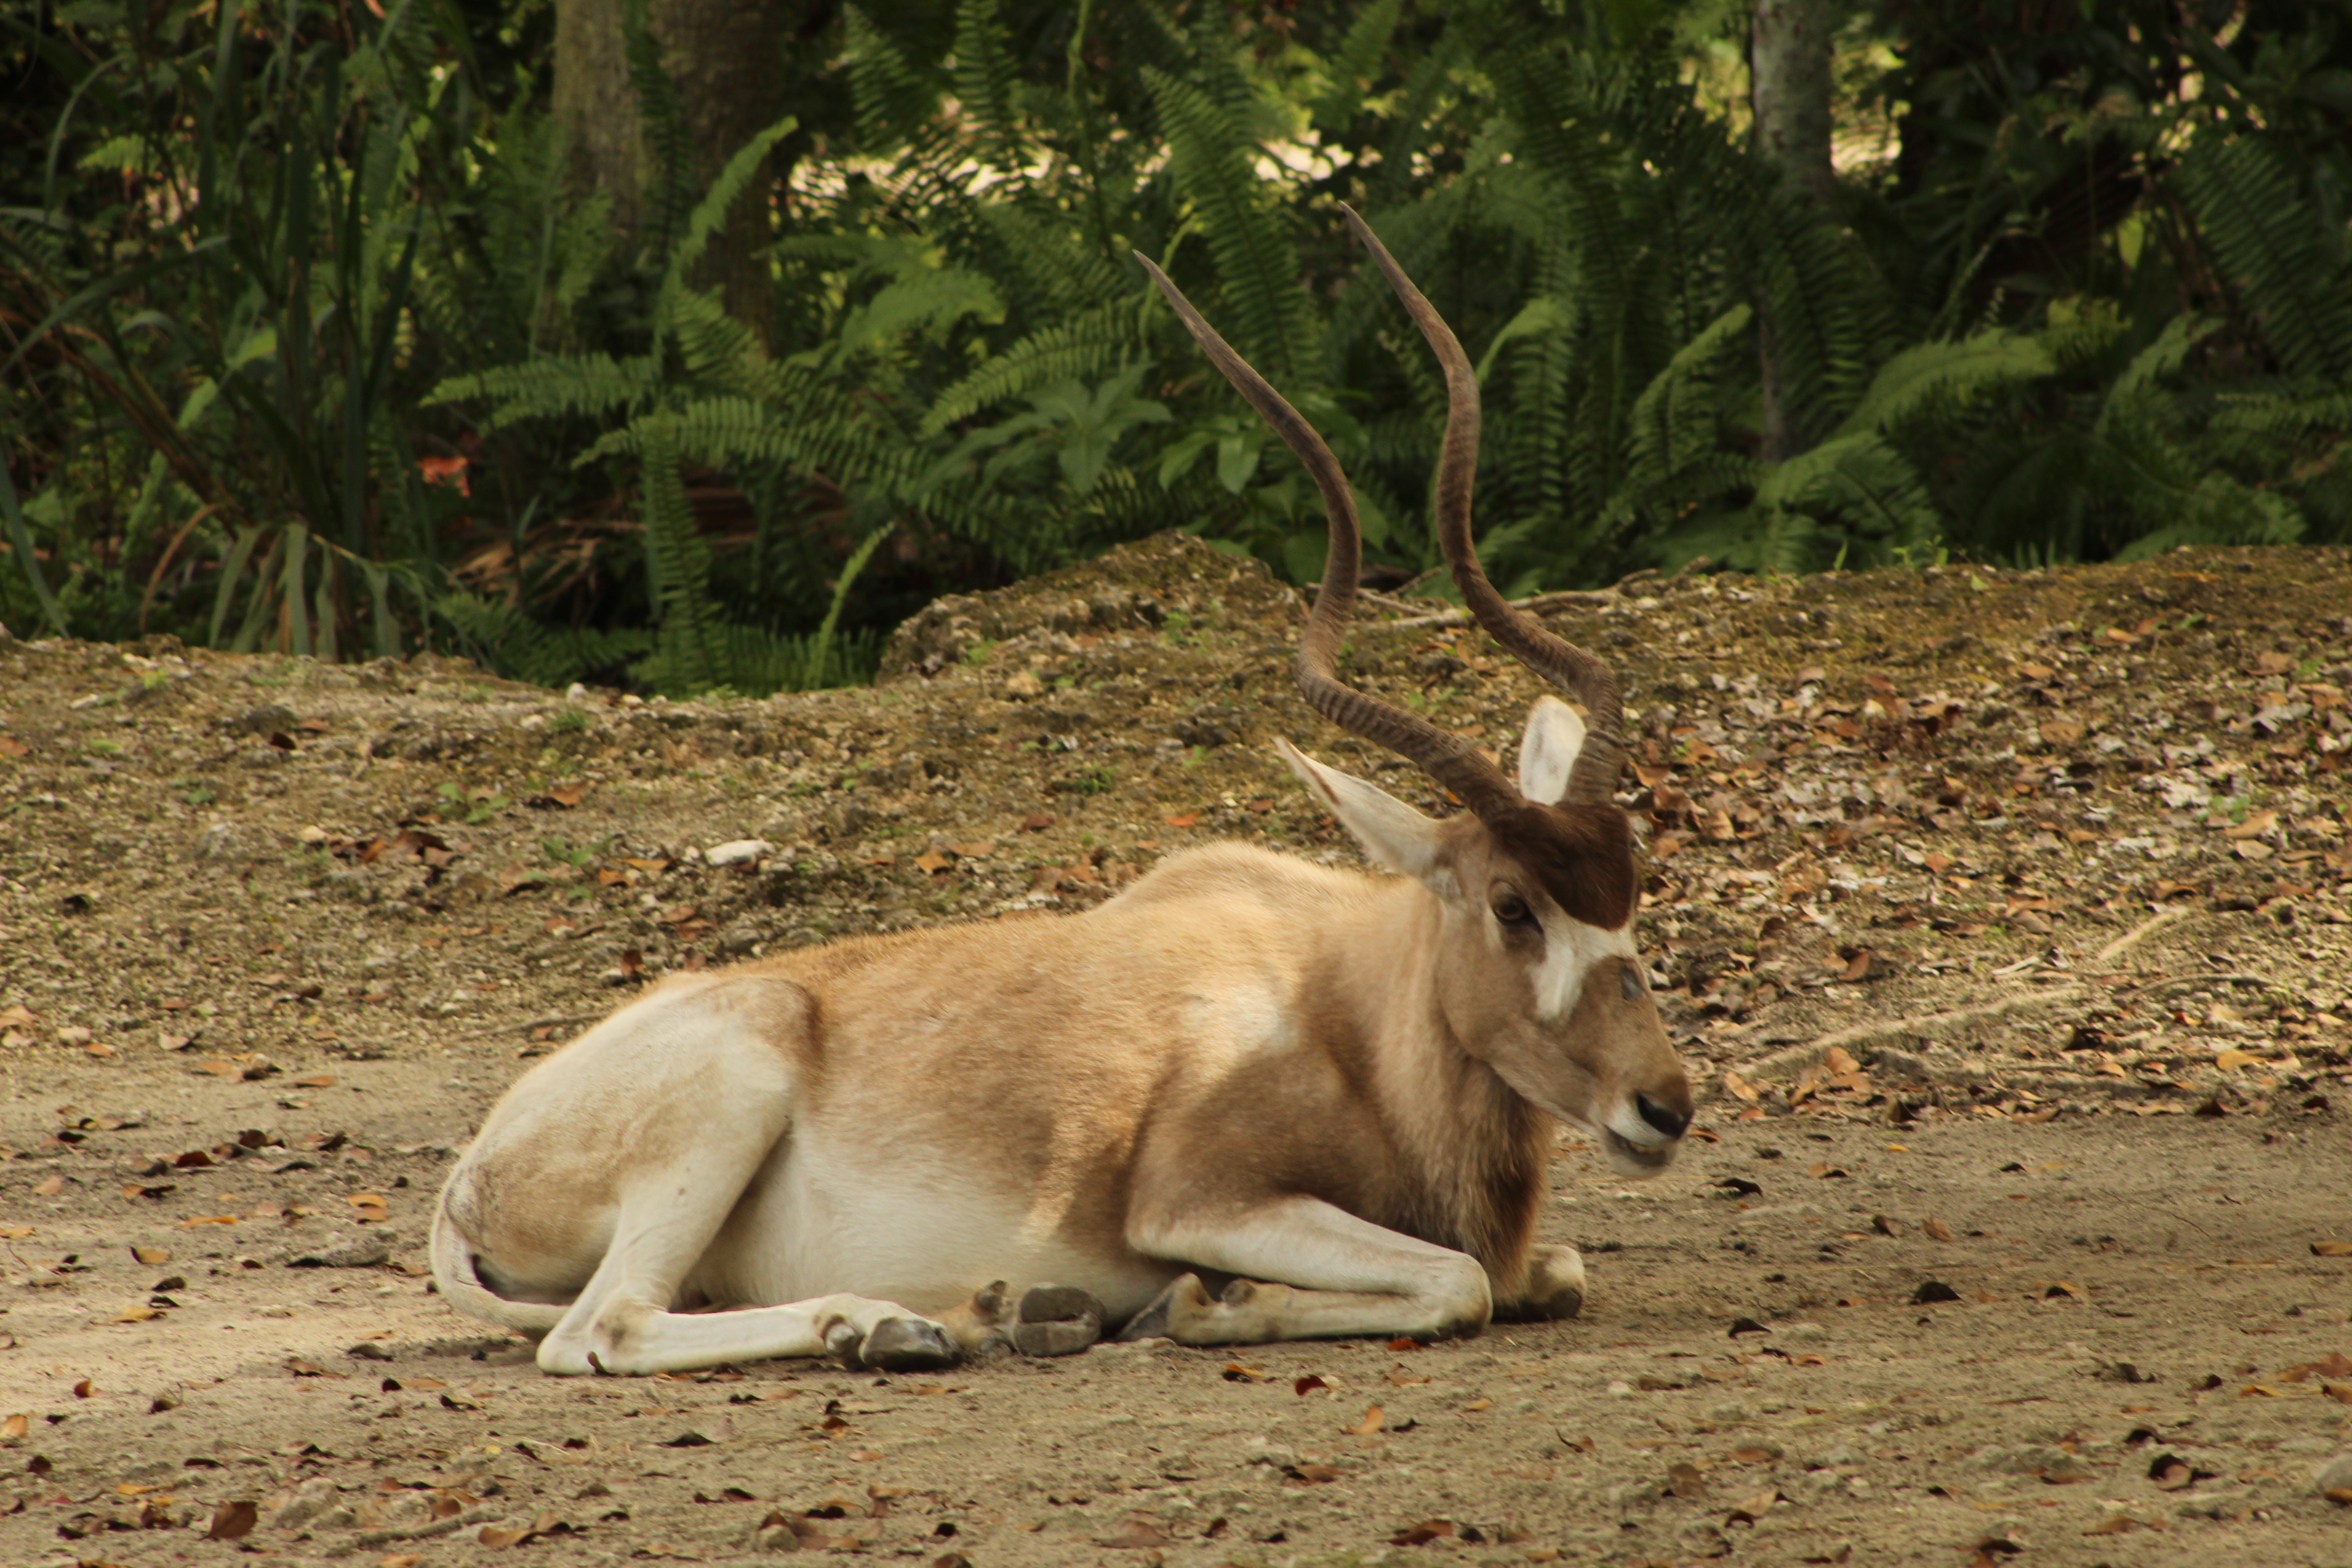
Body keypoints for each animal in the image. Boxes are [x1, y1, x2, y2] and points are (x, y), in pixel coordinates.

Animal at [428, 209, 1693, 1375]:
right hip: (729, 1094)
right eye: (1514, 905)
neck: (1344, 1006)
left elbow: (1551, 1272)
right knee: (604, 1327)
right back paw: (900, 1323)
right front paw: (1203, 1303)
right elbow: (1461, 1280)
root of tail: (476, 1168)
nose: (1664, 1107)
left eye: (1632, 891)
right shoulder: (1198, 1198)